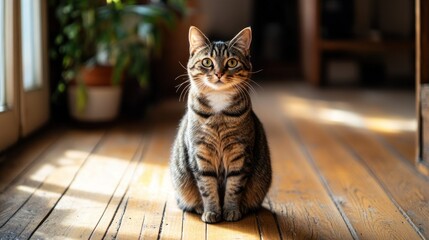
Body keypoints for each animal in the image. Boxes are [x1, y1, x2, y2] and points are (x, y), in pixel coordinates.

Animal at [170, 26, 270, 223]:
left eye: (231, 62)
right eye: (207, 62)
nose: (219, 73)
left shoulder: (239, 152)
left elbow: (234, 185)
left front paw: (231, 210)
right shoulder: (201, 152)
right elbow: (207, 186)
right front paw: (211, 212)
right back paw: (199, 207)